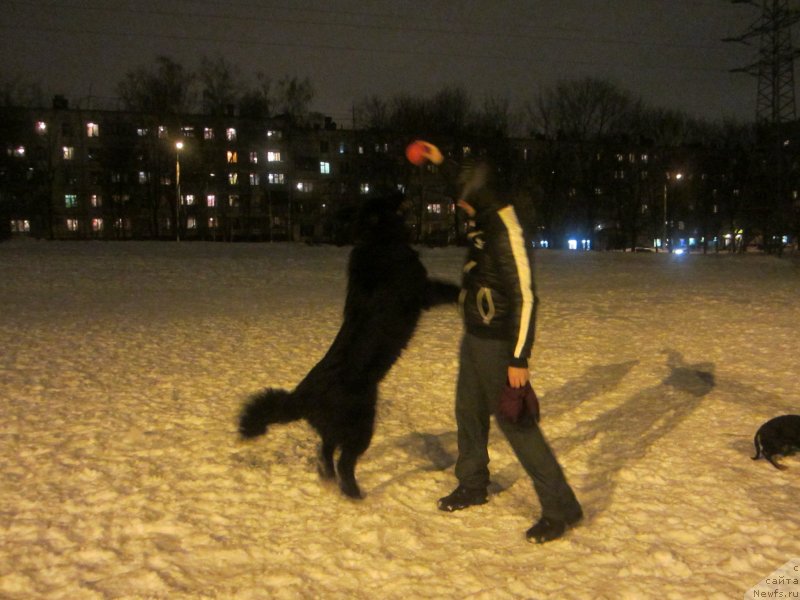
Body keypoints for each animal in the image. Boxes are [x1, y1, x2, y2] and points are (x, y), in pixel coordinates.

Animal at [238, 195, 460, 500]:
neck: (378, 240)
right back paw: (355, 494)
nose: (402, 192)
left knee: (325, 452)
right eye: (385, 197)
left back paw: (328, 478)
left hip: (334, 429)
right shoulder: (423, 291)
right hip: (360, 426)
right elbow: (449, 289)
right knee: (344, 461)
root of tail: (300, 397)